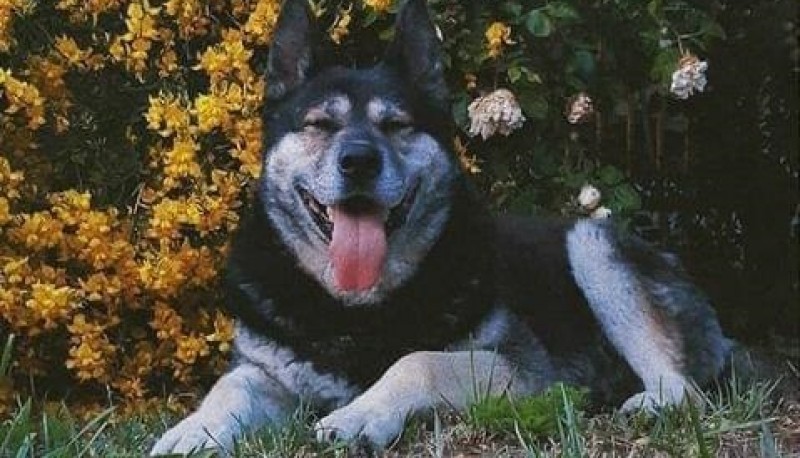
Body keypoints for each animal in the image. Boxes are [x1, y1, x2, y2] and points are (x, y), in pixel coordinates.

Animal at [148, 0, 732, 450]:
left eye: (396, 125)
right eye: (319, 124)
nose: (358, 161)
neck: (356, 308)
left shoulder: (523, 370)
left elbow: (416, 360)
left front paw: (358, 416)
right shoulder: (270, 373)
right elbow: (231, 387)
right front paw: (193, 430)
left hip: (592, 245)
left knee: (690, 391)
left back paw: (652, 403)